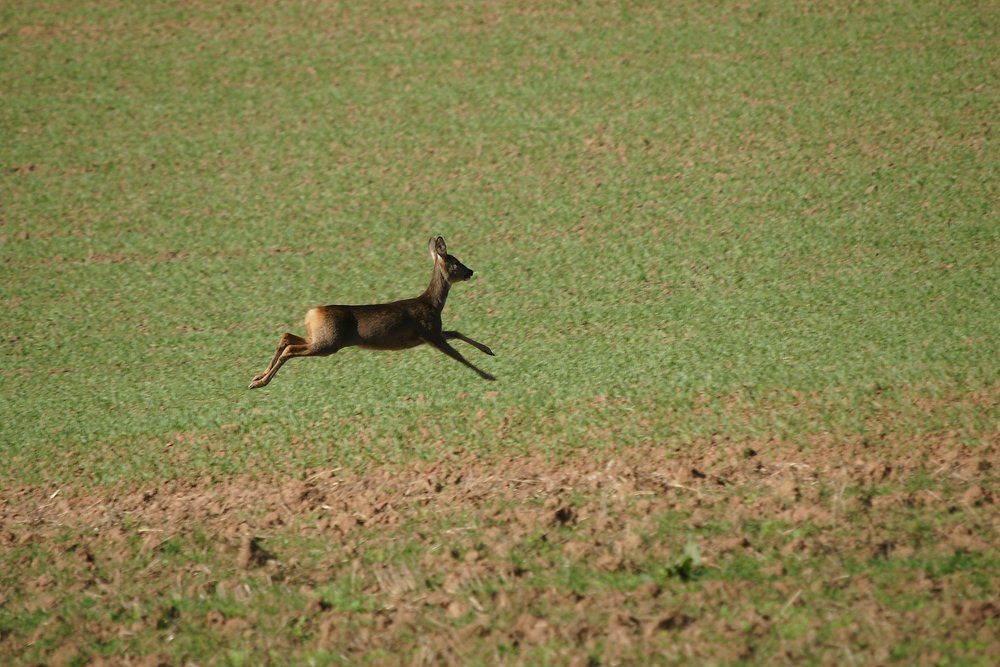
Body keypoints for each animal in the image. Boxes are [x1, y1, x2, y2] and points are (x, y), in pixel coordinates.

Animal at [248, 236, 495, 389]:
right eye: (455, 262)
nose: (470, 271)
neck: (432, 304)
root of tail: (312, 312)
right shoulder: (430, 333)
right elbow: (458, 355)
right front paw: (488, 375)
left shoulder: (432, 333)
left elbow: (456, 332)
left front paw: (488, 350)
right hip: (328, 342)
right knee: (290, 347)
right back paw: (260, 382)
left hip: (319, 337)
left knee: (286, 336)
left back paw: (257, 377)